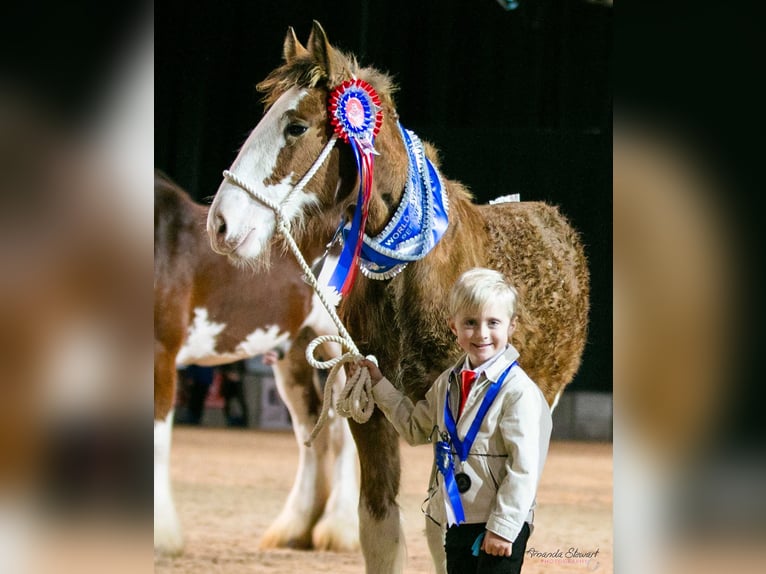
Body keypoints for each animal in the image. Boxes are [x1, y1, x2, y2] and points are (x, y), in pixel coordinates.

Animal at [156, 171, 364, 560]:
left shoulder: (161, 353)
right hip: (294, 357)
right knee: (311, 433)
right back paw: (296, 529)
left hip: (338, 348)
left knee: (343, 436)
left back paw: (338, 530)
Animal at [207, 20, 592, 572]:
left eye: (296, 127)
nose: (221, 223)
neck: (414, 269)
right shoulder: (375, 411)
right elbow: (380, 524)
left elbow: (445, 529)